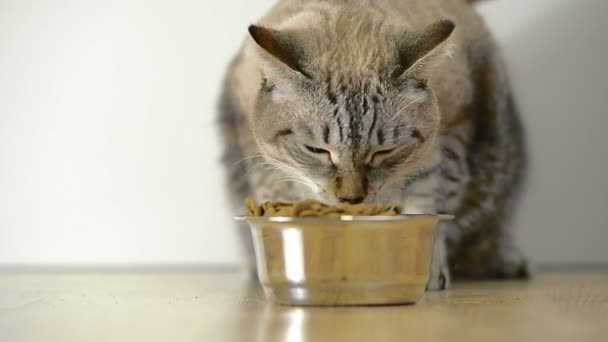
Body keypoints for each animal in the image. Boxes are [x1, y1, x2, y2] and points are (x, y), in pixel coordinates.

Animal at [217, 0, 528, 292]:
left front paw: (425, 268)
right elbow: (284, 202)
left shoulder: (447, 146)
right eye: (318, 151)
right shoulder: (260, 160)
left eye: (383, 152)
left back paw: (506, 261)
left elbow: (426, 207)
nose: (351, 199)